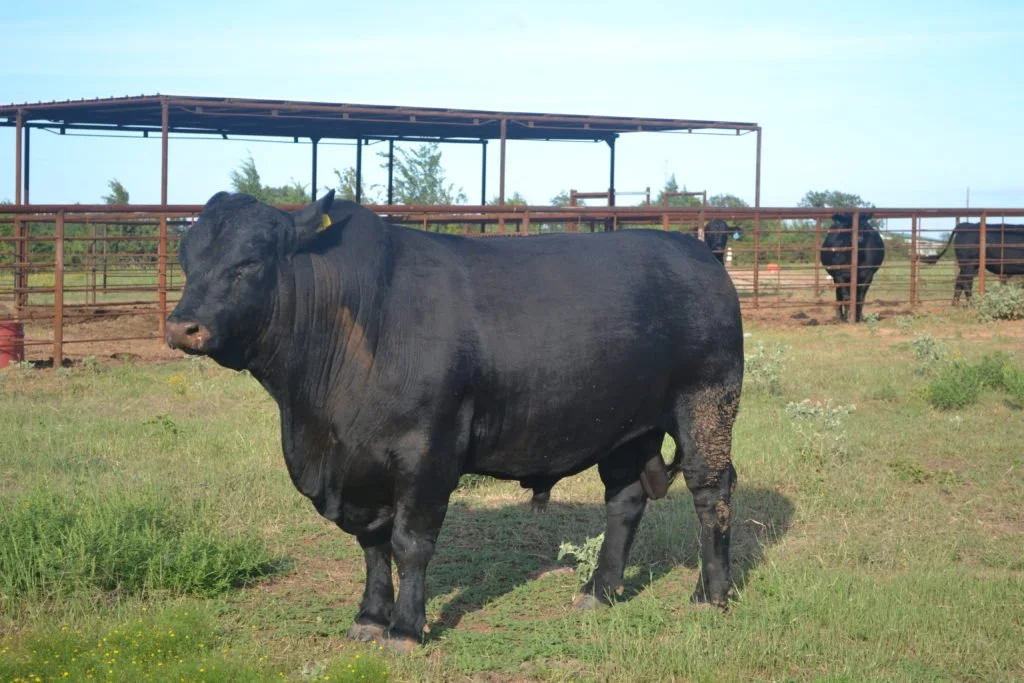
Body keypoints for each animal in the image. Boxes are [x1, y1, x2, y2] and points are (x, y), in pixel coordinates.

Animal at [165, 190, 744, 651]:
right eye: (187, 260)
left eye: (248, 262)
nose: (182, 326)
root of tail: (697, 253)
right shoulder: (359, 468)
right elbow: (372, 545)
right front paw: (369, 618)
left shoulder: (427, 452)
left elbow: (410, 543)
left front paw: (405, 629)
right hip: (624, 427)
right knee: (624, 500)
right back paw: (598, 592)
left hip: (707, 405)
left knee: (711, 493)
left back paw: (710, 594)